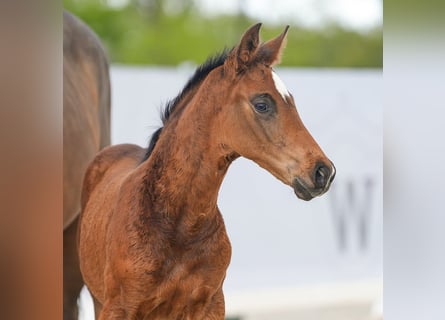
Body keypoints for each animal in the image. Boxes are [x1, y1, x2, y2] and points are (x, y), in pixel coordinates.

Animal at [78, 24, 332, 320]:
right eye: (262, 104)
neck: (178, 226)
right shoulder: (119, 307)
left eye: (292, 101)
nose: (323, 171)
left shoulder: (211, 305)